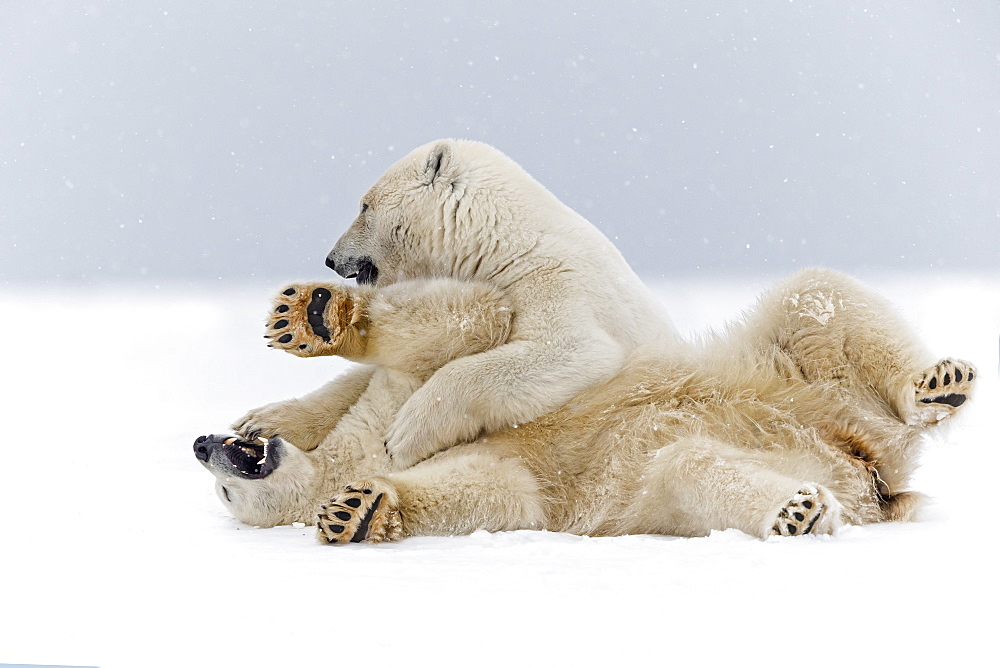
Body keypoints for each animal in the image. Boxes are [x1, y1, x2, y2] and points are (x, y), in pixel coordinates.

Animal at [193, 270, 976, 544]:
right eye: (224, 496)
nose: (201, 446)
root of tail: (870, 474)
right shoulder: (521, 482)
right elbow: (495, 491)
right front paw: (357, 511)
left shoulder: (389, 404)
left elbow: (465, 327)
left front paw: (315, 317)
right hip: (666, 480)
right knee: (693, 470)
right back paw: (798, 510)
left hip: (803, 384)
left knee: (816, 296)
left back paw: (938, 384)